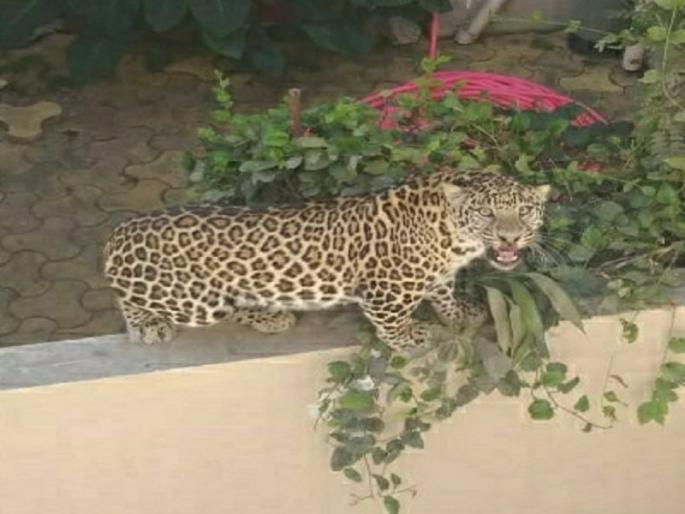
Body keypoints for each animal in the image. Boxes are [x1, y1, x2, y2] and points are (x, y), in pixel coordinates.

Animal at [103, 170, 550, 351]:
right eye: (487, 213)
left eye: (524, 211)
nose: (510, 237)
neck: (454, 235)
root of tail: (117, 233)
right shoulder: (386, 291)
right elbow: (394, 321)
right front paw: (409, 338)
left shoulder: (437, 274)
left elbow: (442, 292)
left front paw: (458, 312)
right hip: (197, 302)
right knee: (130, 299)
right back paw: (148, 325)